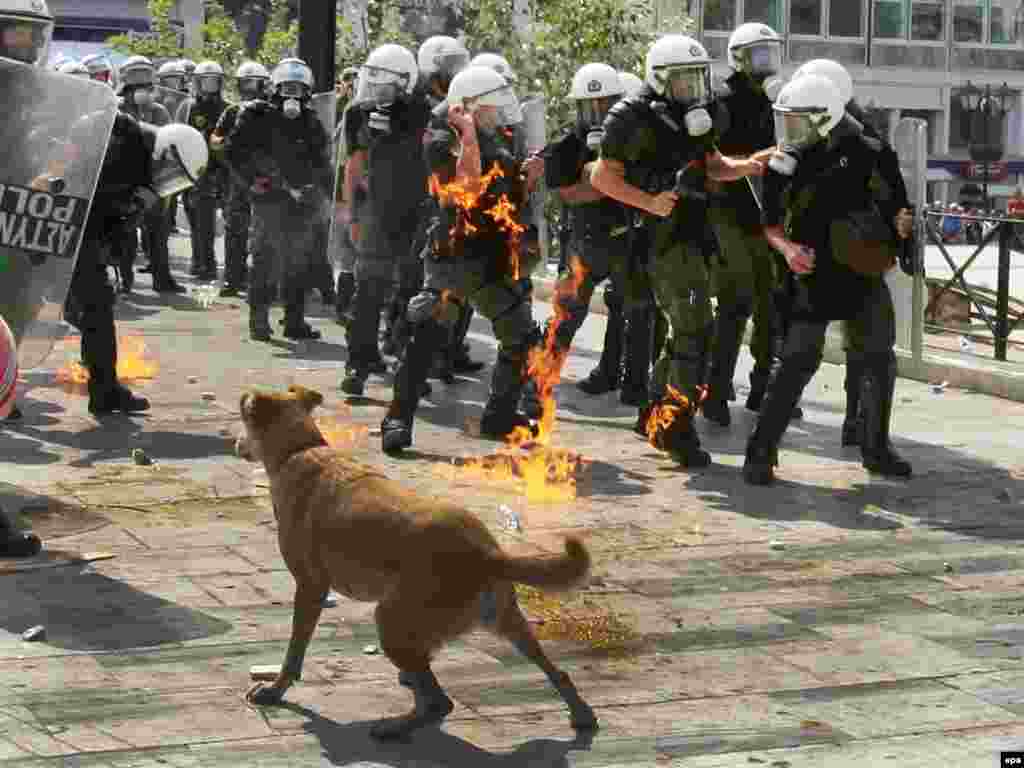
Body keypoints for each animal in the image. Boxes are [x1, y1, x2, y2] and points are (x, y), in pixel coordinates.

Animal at [234, 387, 598, 741]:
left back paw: (395, 726)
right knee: (556, 670)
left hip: (390, 620)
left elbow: (294, 651)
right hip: (506, 620)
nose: (236, 443)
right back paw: (581, 714)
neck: (300, 449)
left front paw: (276, 691)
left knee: (441, 703)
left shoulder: (310, 587)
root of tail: (484, 553)